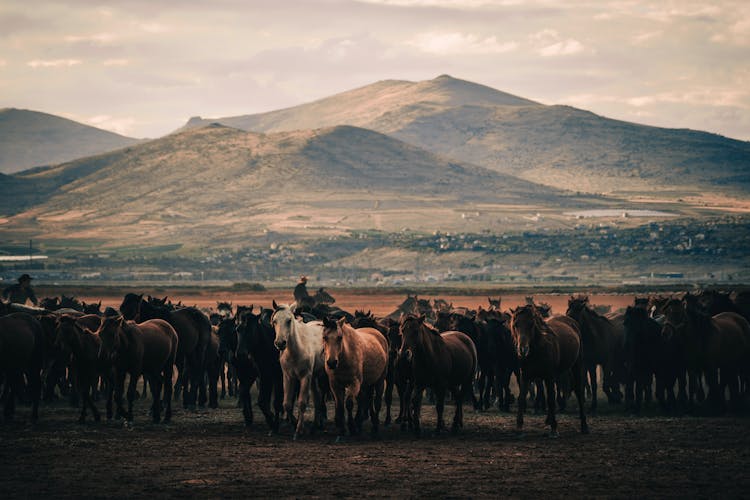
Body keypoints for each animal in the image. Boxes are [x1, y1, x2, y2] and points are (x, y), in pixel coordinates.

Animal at [272, 300, 328, 438]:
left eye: (289, 320)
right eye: (275, 321)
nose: (280, 343)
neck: (297, 350)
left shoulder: (305, 377)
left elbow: (302, 403)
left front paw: (299, 430)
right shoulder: (288, 377)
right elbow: (287, 404)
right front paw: (294, 423)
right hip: (314, 378)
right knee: (317, 398)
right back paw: (314, 427)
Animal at [516, 302, 592, 436]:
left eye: (531, 324)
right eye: (515, 324)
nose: (522, 349)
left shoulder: (549, 376)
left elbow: (551, 399)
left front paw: (554, 429)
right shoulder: (525, 376)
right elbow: (522, 398)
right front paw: (519, 428)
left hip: (576, 366)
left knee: (578, 391)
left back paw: (584, 426)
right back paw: (549, 419)